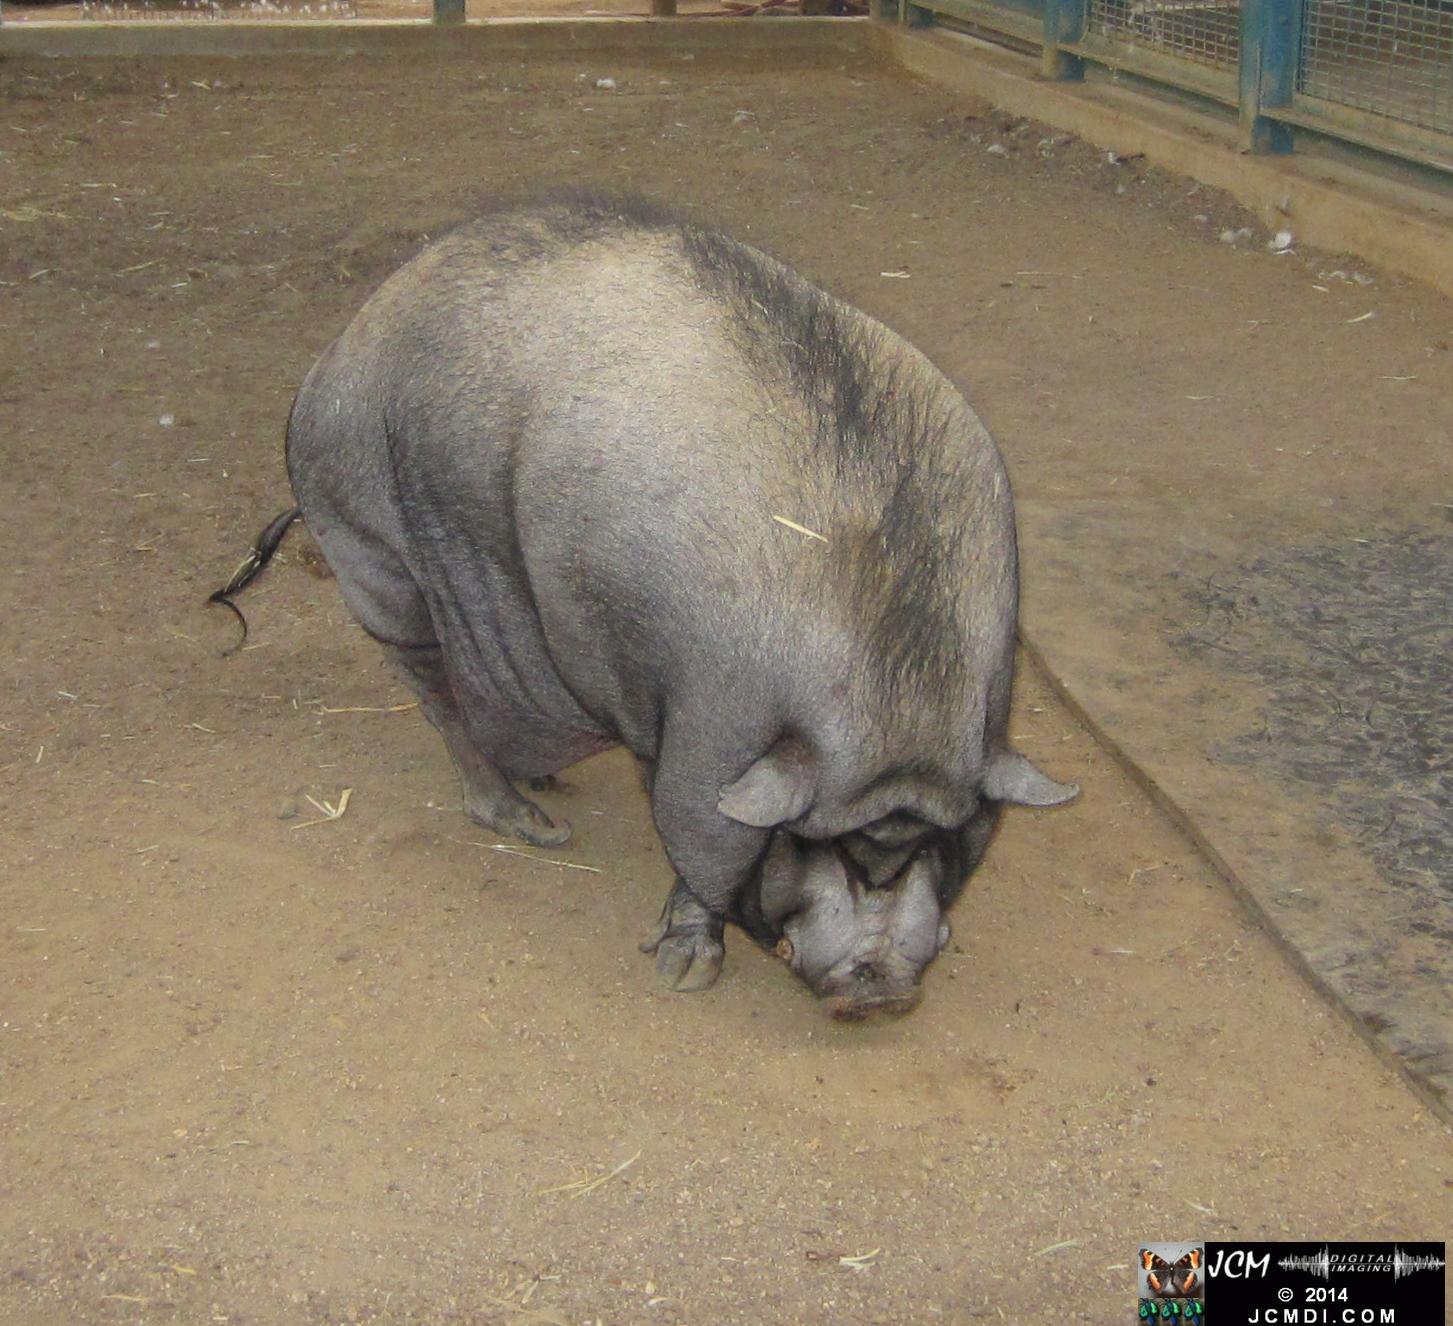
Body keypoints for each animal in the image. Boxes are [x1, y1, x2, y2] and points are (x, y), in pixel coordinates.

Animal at [225, 195, 1077, 1018]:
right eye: (819, 842)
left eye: (924, 843)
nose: (878, 989)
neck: (894, 696)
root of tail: (342, 345)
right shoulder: (701, 728)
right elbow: (693, 832)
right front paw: (684, 973)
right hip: (369, 547)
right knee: (434, 690)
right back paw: (538, 826)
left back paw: (548, 787)